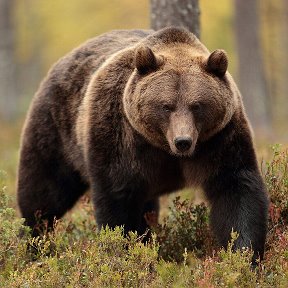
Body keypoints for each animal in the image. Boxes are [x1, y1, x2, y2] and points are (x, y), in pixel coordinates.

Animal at [17, 27, 268, 264]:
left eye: (197, 105)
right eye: (166, 106)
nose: (183, 141)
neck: (163, 148)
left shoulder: (220, 138)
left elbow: (235, 189)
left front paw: (244, 255)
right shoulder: (121, 137)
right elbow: (117, 200)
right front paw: (125, 252)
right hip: (57, 129)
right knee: (44, 194)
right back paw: (33, 245)